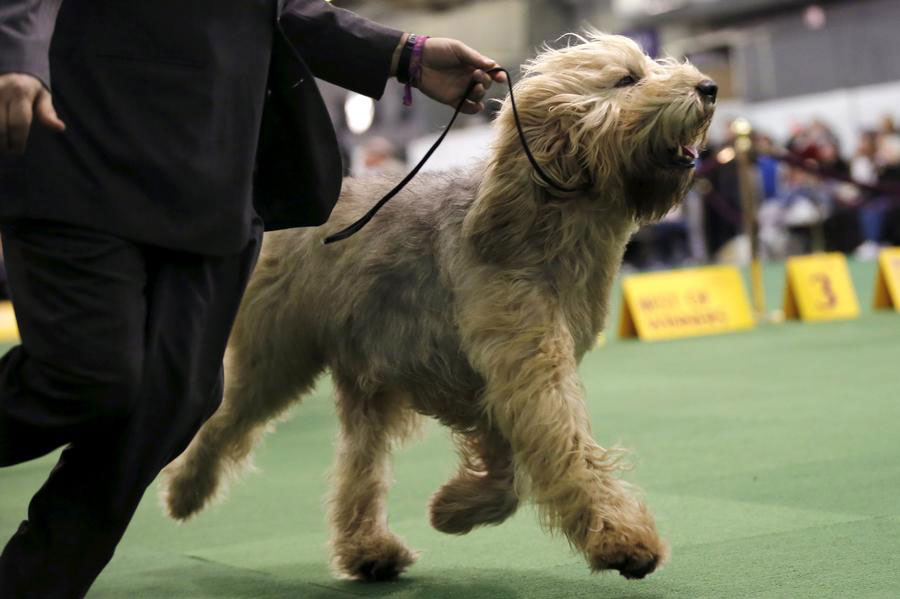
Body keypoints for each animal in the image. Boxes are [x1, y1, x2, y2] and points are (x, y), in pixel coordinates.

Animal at [163, 31, 716, 580]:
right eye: (627, 79)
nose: (708, 87)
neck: (551, 218)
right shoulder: (529, 370)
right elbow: (564, 448)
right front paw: (621, 540)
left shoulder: (497, 377)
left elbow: (511, 468)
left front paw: (455, 507)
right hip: (276, 357)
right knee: (224, 418)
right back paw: (185, 491)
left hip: (366, 380)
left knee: (358, 465)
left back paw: (368, 549)